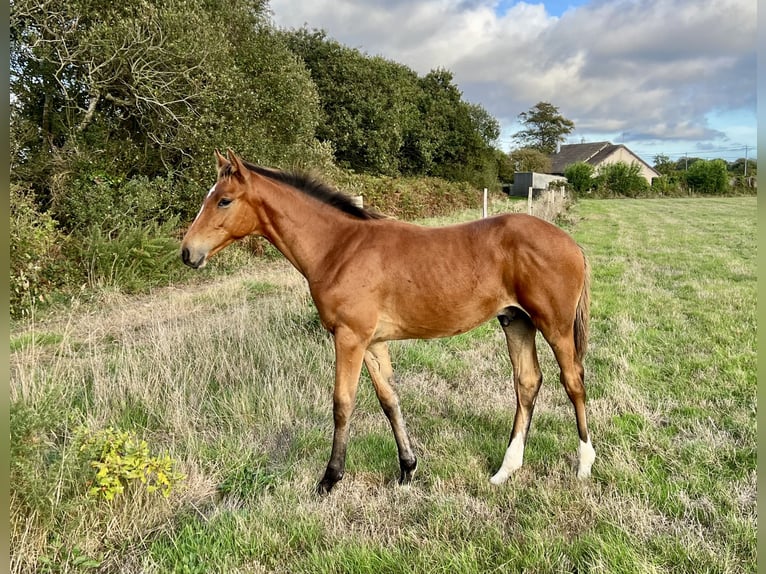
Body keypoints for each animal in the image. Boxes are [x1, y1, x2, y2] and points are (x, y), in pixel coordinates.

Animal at [180, 149, 595, 494]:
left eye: (223, 200)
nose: (187, 253)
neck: (338, 248)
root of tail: (572, 244)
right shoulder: (373, 342)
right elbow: (389, 399)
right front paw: (407, 468)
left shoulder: (349, 337)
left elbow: (342, 403)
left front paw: (329, 479)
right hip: (516, 321)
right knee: (527, 383)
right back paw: (505, 470)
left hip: (555, 326)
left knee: (573, 381)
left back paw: (584, 465)